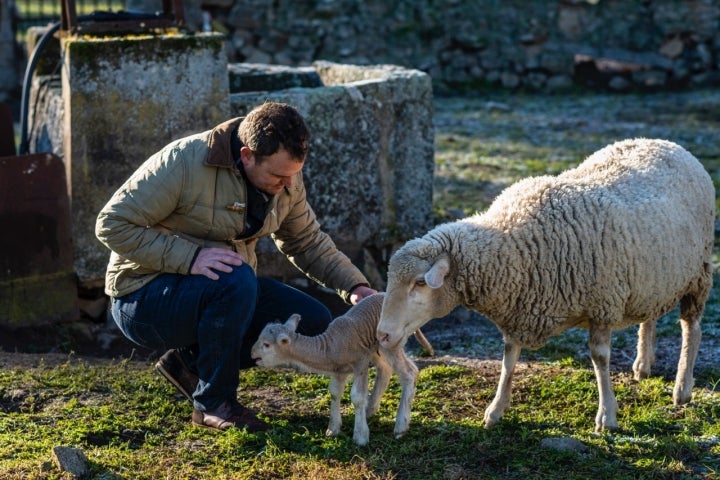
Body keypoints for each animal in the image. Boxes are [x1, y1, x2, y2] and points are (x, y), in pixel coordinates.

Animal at [252, 292, 422, 446]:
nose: (252, 353)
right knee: (385, 370)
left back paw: (400, 427)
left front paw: (360, 437)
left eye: (266, 345)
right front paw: (332, 430)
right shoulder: (339, 370)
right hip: (376, 347)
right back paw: (370, 410)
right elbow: (334, 392)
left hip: (392, 341)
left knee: (409, 373)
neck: (329, 346)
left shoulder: (360, 362)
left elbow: (357, 397)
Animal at [376, 138, 716, 432]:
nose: (382, 335)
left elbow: (600, 358)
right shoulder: (518, 307)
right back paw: (643, 364)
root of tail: (663, 142)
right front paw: (495, 410)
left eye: (420, 283)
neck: (513, 244)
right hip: (653, 278)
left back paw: (682, 388)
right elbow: (509, 359)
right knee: (651, 316)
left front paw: (607, 416)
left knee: (691, 328)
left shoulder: (602, 305)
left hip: (698, 274)